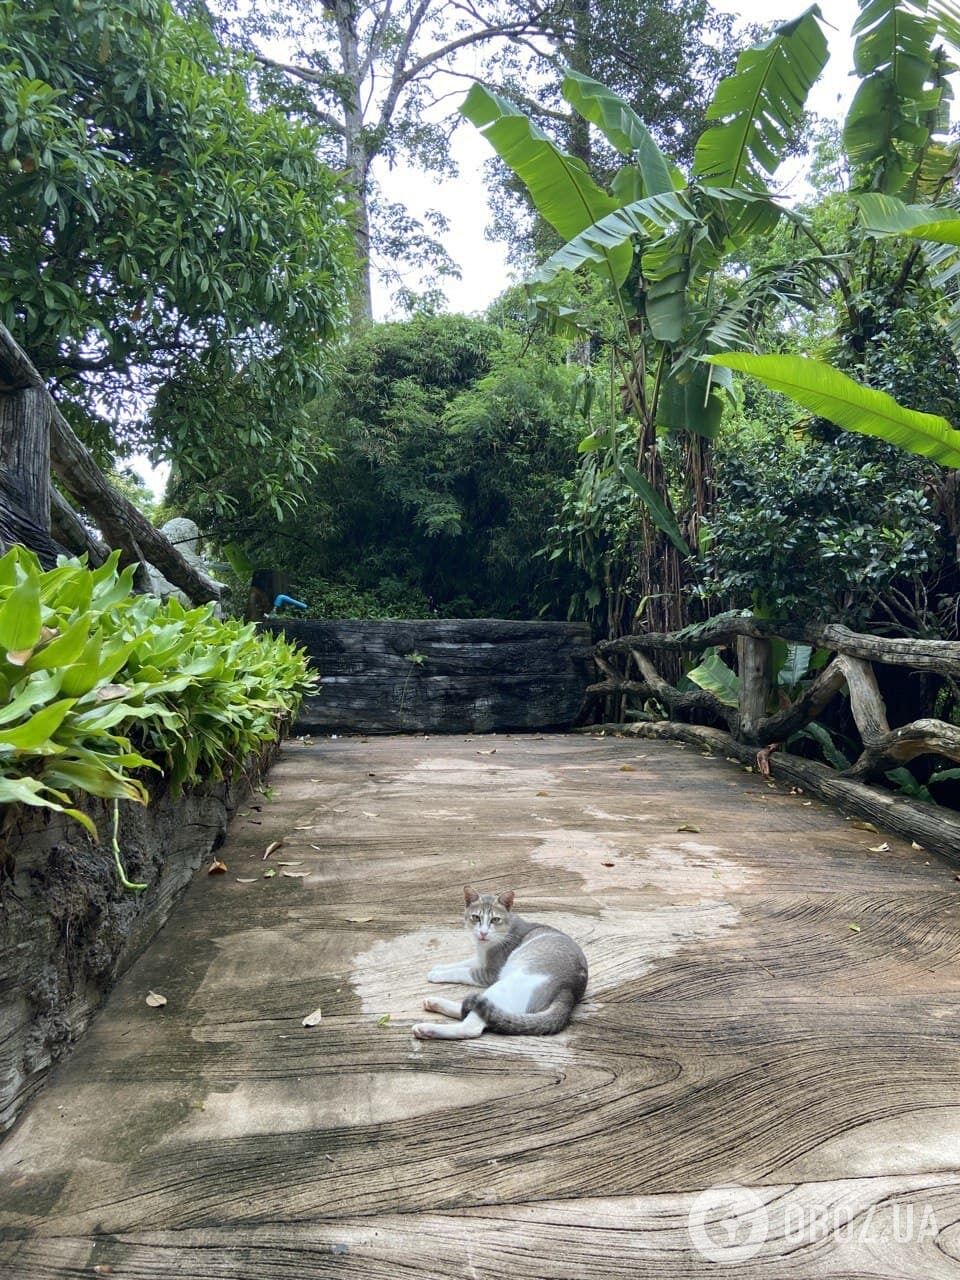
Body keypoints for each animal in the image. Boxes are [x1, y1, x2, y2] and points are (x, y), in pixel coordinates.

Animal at [412, 890, 591, 1039]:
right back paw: (435, 1003)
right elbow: (464, 962)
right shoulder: (480, 959)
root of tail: (568, 991)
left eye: (495, 920)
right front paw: (439, 967)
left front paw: (437, 974)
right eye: (476, 917)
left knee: (472, 1026)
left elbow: (464, 971)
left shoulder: (490, 973)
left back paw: (426, 1029)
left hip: (502, 986)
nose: (483, 933)